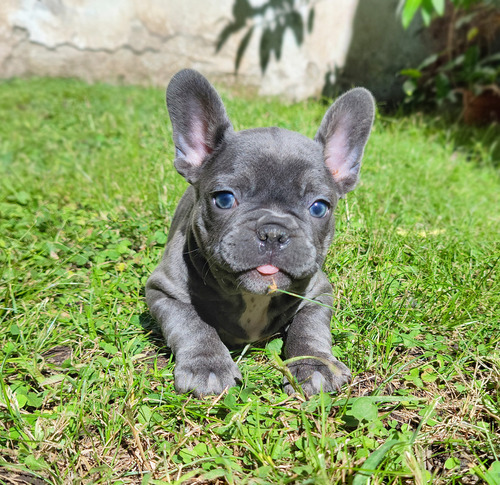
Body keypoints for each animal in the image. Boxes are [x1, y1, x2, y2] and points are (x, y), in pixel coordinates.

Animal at [146, 69, 376, 398]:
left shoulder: (319, 292)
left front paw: (314, 364)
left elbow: (310, 326)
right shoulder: (164, 291)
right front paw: (208, 366)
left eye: (319, 207)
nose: (273, 232)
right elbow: (192, 324)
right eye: (224, 199)